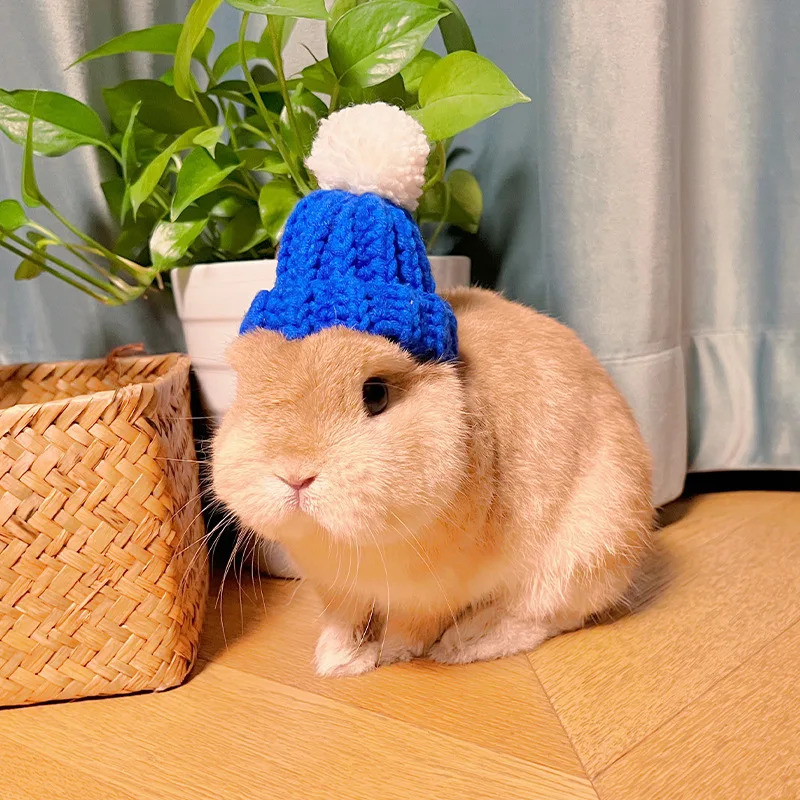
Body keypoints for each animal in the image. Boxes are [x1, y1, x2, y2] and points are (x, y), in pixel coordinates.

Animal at [212, 286, 654, 677]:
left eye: (376, 394)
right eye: (246, 388)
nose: (295, 475)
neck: (354, 544)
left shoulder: (431, 593)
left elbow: (411, 628)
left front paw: (388, 656)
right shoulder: (338, 590)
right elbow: (344, 622)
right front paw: (336, 662)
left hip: (583, 554)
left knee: (539, 616)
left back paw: (464, 644)